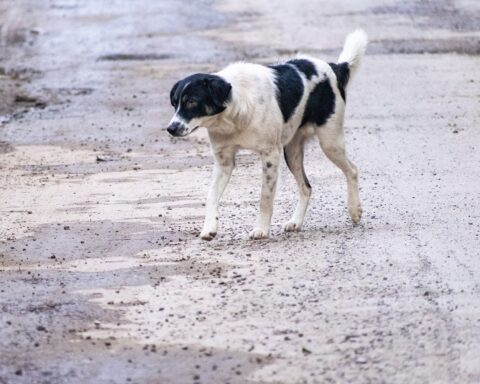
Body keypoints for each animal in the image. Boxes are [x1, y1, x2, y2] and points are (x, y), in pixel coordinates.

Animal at [166, 30, 368, 240]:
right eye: (174, 103)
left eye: (191, 101)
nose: (170, 128)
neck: (233, 113)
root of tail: (334, 67)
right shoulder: (224, 161)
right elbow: (211, 194)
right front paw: (209, 228)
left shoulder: (270, 154)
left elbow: (265, 197)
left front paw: (261, 229)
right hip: (292, 151)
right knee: (306, 187)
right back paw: (296, 221)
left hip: (330, 142)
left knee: (352, 170)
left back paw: (354, 209)